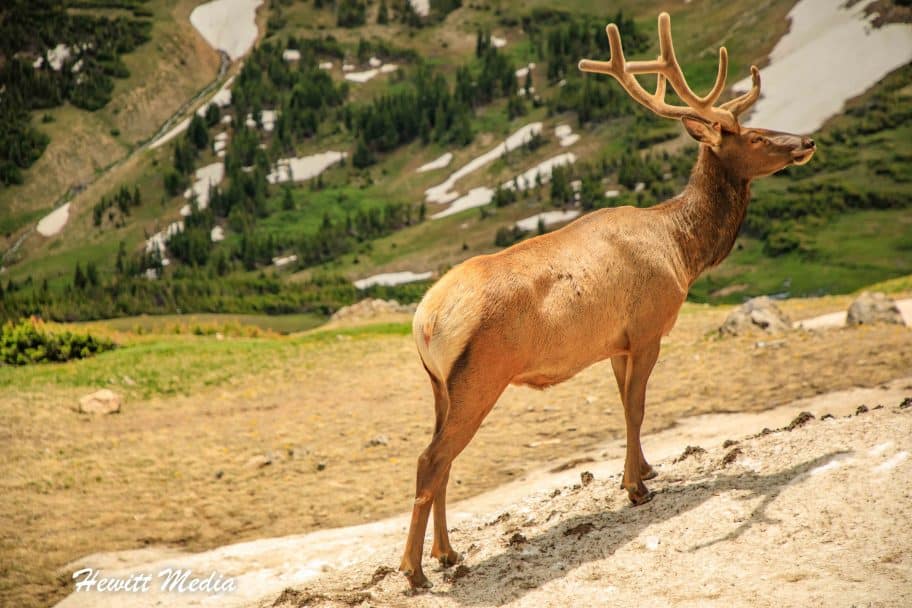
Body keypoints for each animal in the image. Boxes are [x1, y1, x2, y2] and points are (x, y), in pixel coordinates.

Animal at [399, 11, 816, 589]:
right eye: (754, 135)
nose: (807, 140)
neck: (682, 250)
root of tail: (427, 320)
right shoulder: (648, 326)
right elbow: (638, 407)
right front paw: (638, 489)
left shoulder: (616, 343)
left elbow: (623, 407)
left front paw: (640, 471)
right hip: (481, 374)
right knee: (430, 459)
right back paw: (414, 569)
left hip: (439, 386)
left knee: (444, 460)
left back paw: (447, 553)